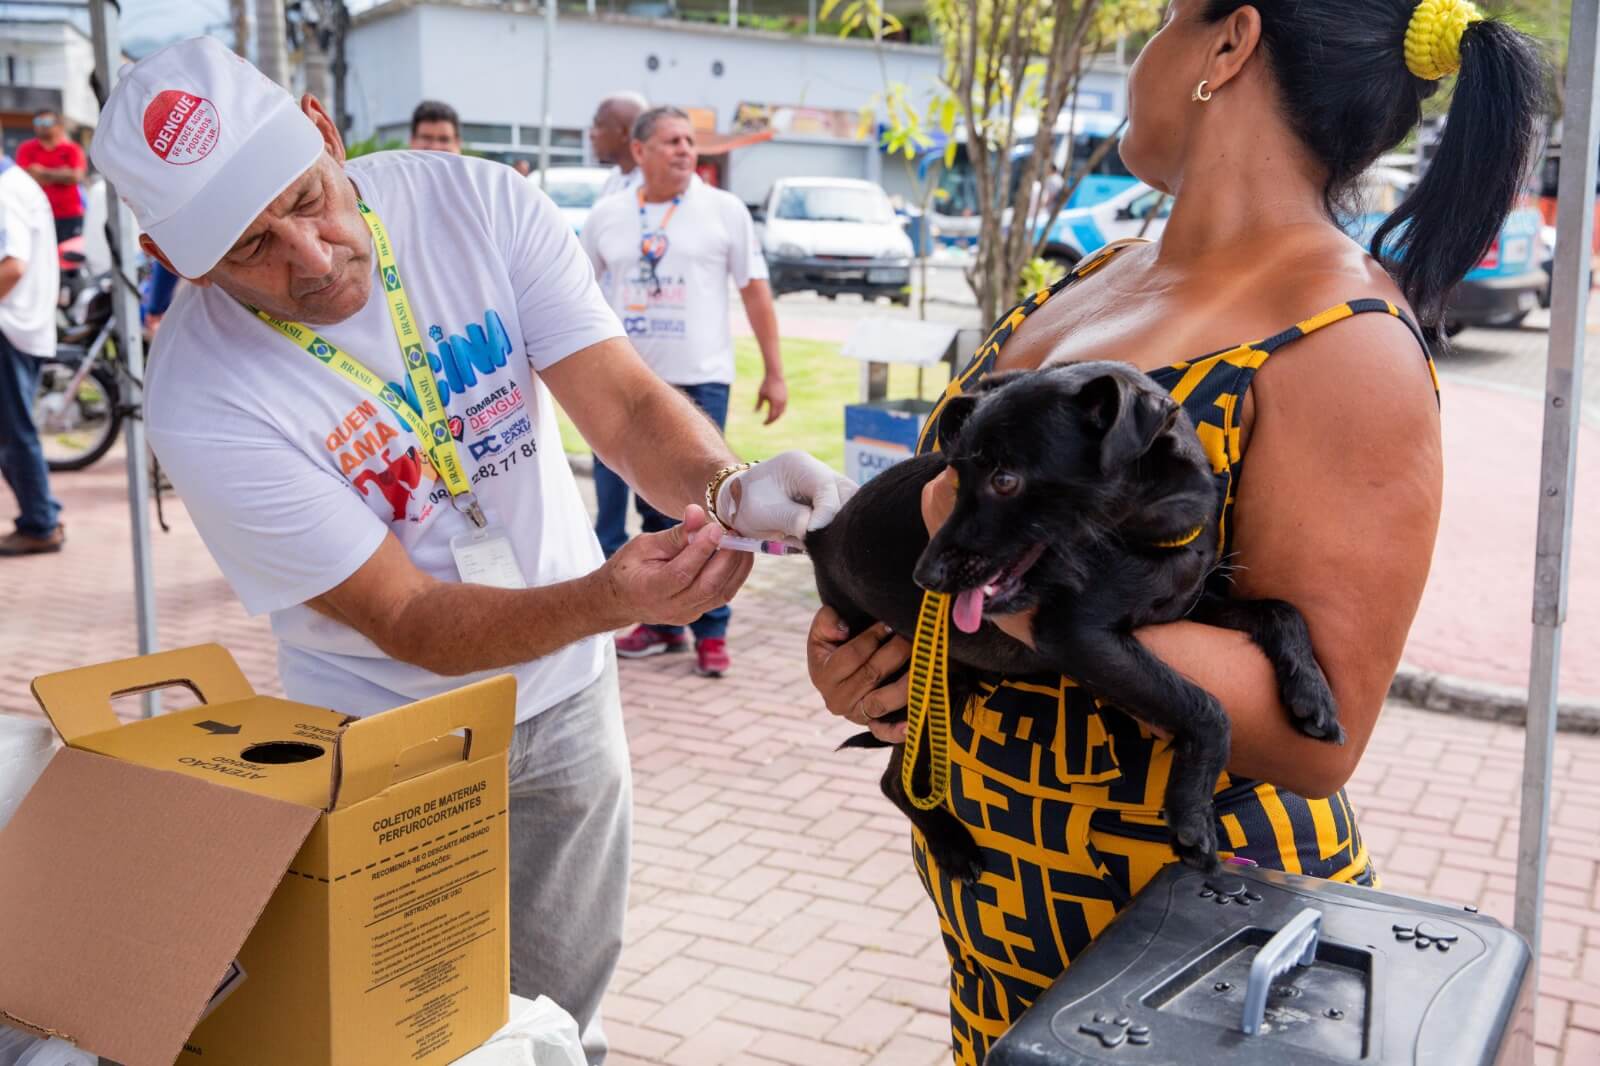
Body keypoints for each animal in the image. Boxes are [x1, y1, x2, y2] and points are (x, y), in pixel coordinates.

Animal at [805, 361, 1343, 879]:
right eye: (955, 478)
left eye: (1005, 480)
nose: (925, 575)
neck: (1144, 539)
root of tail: (821, 537)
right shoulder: (1078, 637)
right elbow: (1206, 707)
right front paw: (1192, 815)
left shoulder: (1182, 609)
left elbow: (1281, 610)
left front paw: (1312, 693)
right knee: (894, 780)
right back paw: (952, 845)